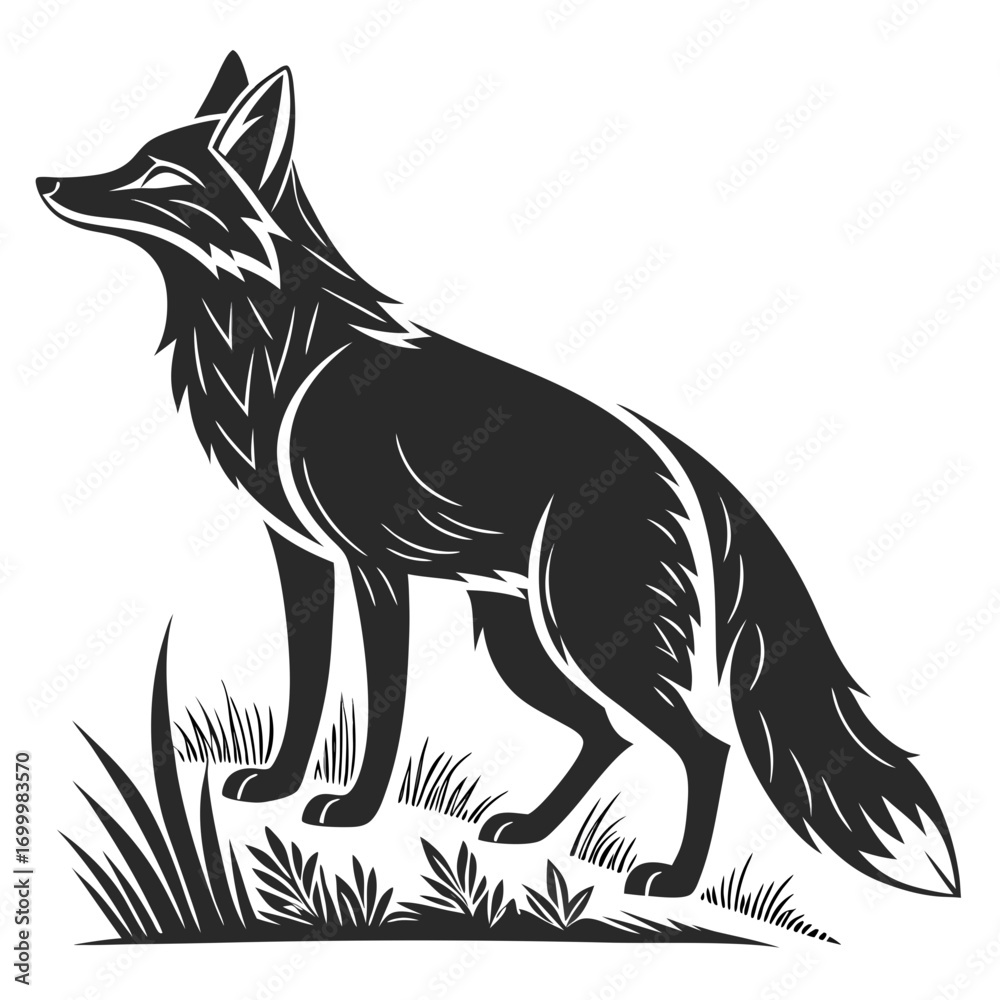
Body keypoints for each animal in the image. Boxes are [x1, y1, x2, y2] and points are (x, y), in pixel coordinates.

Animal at [37, 52, 959, 900]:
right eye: (130, 156)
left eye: (157, 174)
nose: (45, 180)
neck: (271, 355)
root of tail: (672, 452)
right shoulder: (299, 557)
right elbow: (307, 692)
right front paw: (278, 787)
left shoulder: (376, 572)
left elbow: (381, 709)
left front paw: (353, 812)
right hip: (529, 646)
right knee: (609, 736)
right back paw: (532, 831)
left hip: (590, 643)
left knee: (705, 746)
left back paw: (674, 878)